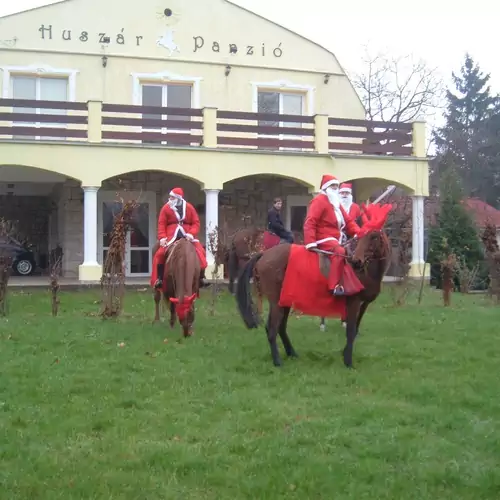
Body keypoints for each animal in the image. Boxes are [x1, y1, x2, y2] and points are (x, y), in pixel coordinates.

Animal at [236, 229, 392, 370]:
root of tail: (264, 254)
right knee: (272, 329)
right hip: (276, 302)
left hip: (284, 301)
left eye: (374, 237)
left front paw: (344, 354)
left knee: (280, 327)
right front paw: (348, 362)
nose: (357, 261)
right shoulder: (353, 303)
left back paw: (292, 353)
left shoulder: (363, 304)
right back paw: (278, 362)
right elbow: (351, 330)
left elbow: (354, 330)